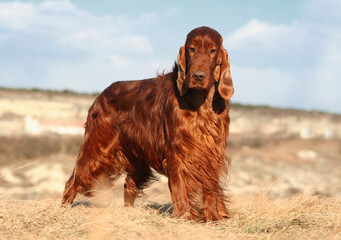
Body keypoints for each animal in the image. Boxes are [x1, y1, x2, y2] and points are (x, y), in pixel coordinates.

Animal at [62, 26, 234, 221]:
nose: (198, 76)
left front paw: (213, 216)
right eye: (192, 49)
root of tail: (101, 94)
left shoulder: (212, 149)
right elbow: (180, 186)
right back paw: (63, 209)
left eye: (213, 50)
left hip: (136, 158)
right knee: (75, 178)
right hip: (98, 149)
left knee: (128, 184)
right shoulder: (176, 150)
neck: (200, 102)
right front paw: (184, 216)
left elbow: (210, 186)